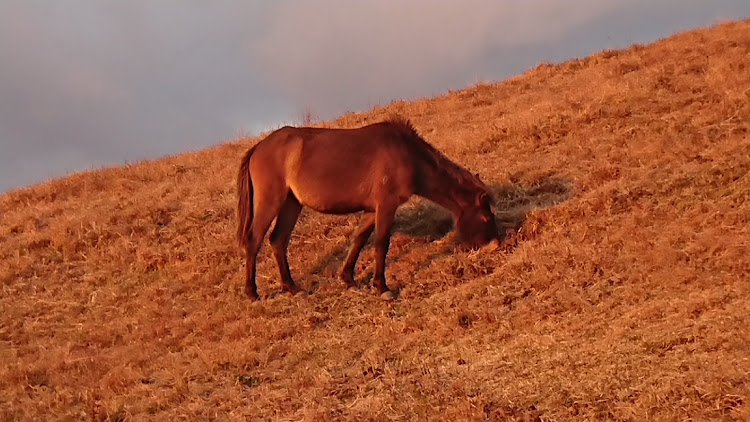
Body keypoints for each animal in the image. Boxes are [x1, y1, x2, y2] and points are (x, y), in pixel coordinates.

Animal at [238, 115, 502, 300]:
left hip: (291, 203)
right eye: (486, 218)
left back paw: (292, 287)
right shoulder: (386, 205)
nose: (495, 245)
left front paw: (348, 279)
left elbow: (359, 239)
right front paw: (382, 287)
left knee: (278, 240)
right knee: (255, 239)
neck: (407, 154)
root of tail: (257, 148)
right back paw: (252, 293)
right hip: (271, 200)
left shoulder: (371, 209)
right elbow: (381, 243)